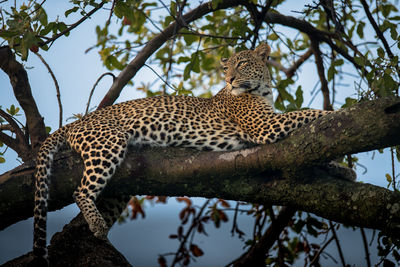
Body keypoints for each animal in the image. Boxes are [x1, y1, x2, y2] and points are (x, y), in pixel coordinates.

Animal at [31, 43, 332, 264]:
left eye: (243, 63)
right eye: (227, 67)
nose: (230, 79)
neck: (263, 90)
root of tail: (77, 121)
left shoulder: (268, 122)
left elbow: (303, 114)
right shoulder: (265, 125)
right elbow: (305, 112)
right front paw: (336, 113)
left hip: (120, 186)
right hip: (109, 142)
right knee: (80, 190)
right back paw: (97, 225)